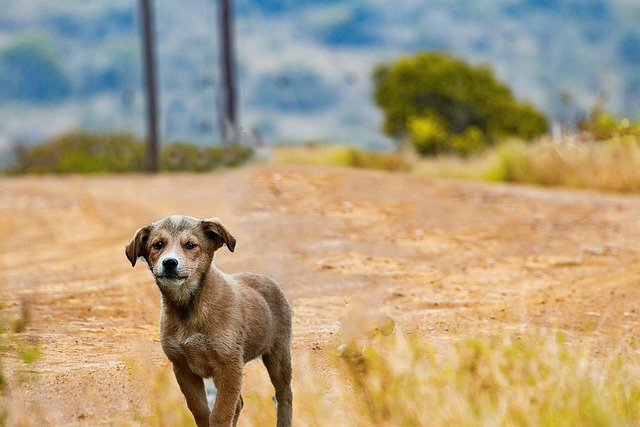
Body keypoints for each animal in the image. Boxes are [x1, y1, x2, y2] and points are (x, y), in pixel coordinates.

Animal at [124, 217, 292, 427]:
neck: (188, 308)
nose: (169, 262)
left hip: (278, 354)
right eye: (158, 245)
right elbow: (201, 411)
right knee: (239, 403)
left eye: (190, 245)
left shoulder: (229, 365)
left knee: (284, 395)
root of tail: (268, 278)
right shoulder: (182, 367)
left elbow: (220, 414)